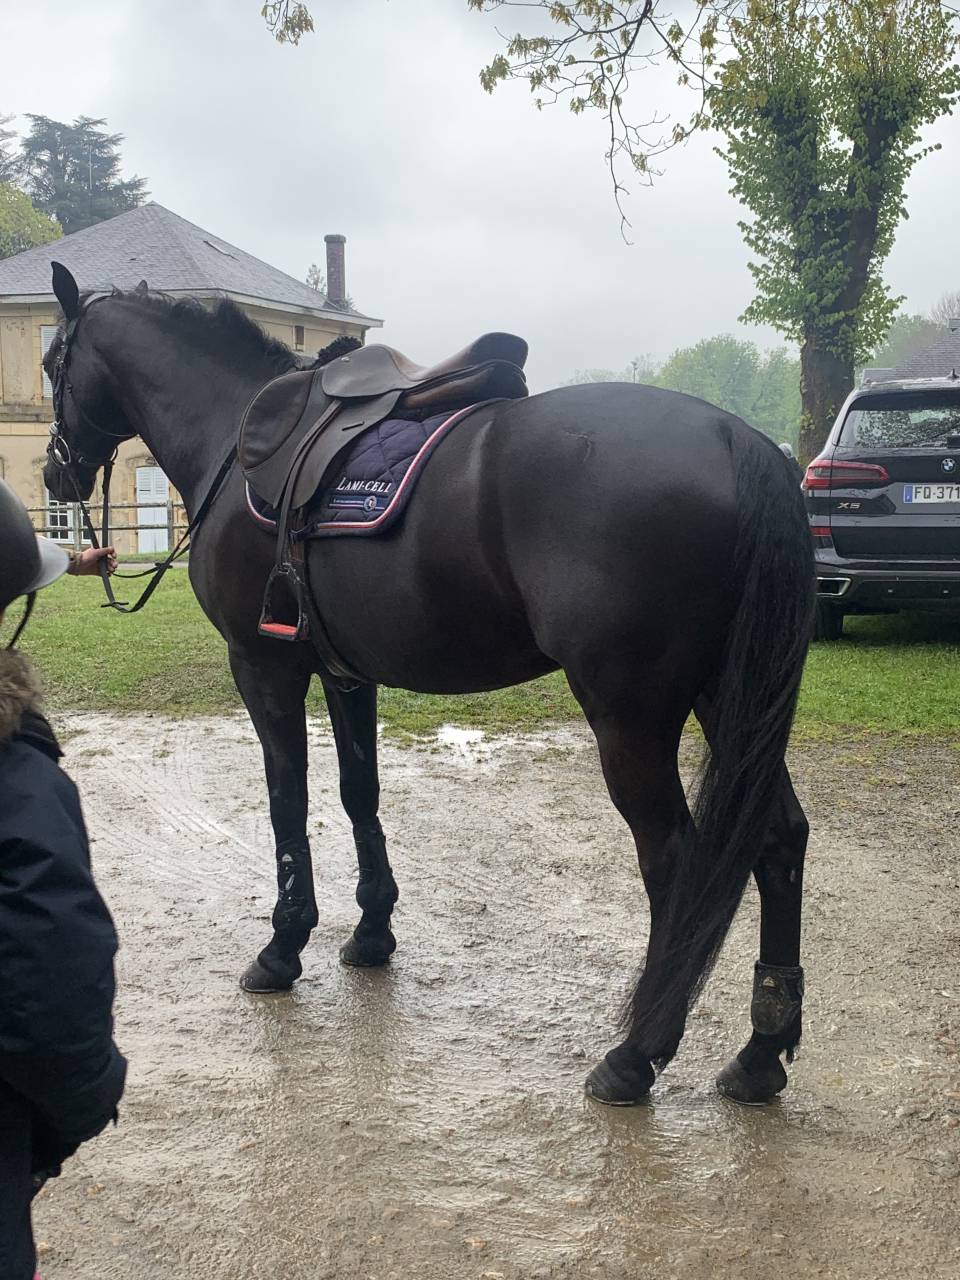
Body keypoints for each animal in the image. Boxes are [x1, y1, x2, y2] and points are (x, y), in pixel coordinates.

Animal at [42, 263, 814, 1108]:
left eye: (51, 364)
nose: (52, 470)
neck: (233, 437)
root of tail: (739, 440)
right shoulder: (345, 674)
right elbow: (359, 794)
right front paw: (371, 934)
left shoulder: (263, 665)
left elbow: (287, 801)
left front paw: (282, 948)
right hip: (729, 698)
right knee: (779, 839)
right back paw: (760, 1050)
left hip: (631, 717)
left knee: (674, 860)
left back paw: (636, 1054)